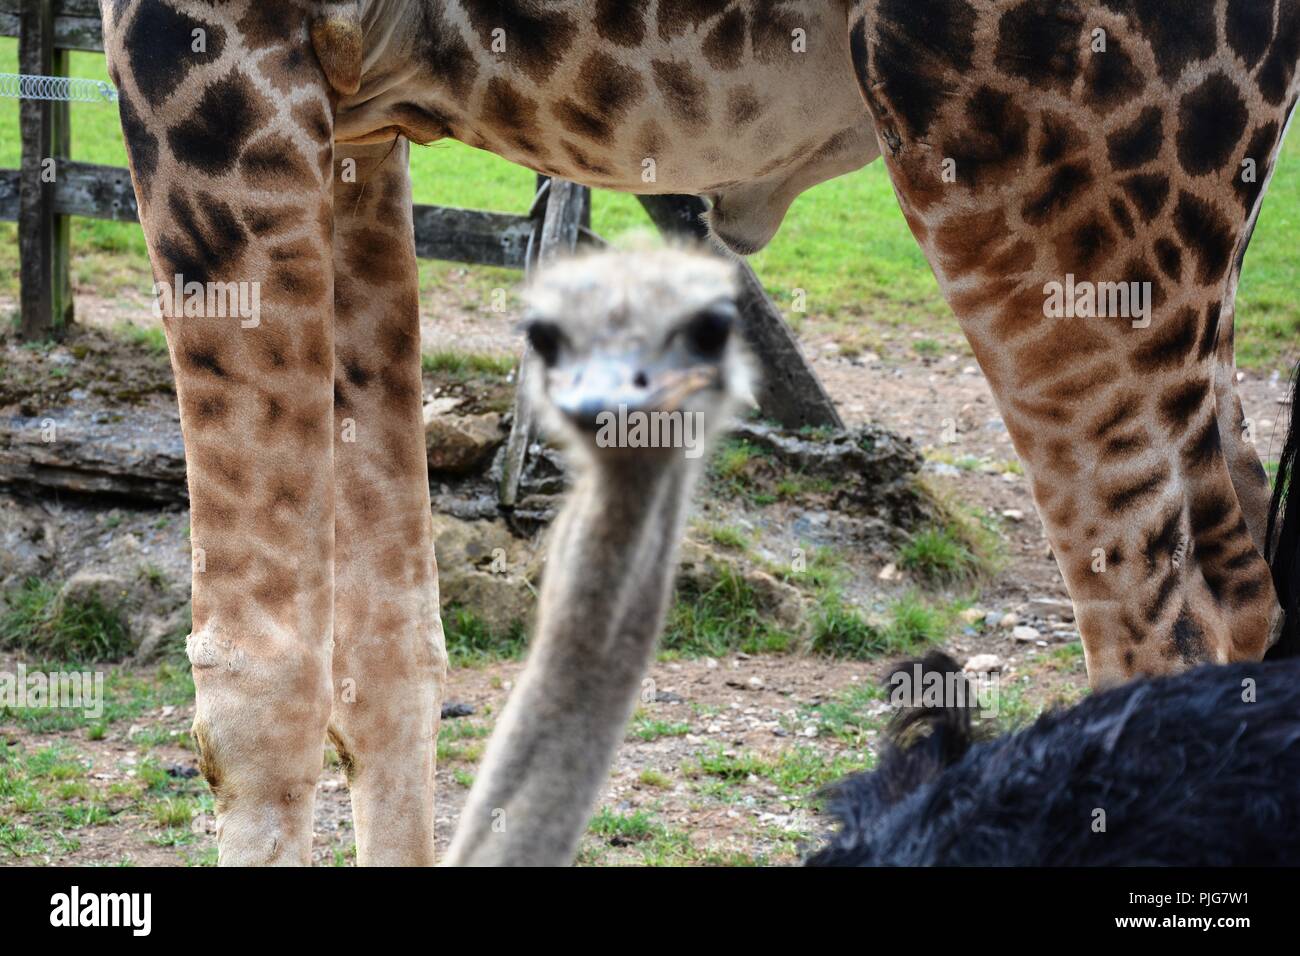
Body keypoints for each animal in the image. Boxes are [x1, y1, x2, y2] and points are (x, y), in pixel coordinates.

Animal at [101, 0, 1300, 863]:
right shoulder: (360, 117)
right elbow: (391, 659)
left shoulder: (204, 41)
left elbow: (252, 693)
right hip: (1190, 236)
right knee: (1241, 597)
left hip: (1032, 144)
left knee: (1155, 641)